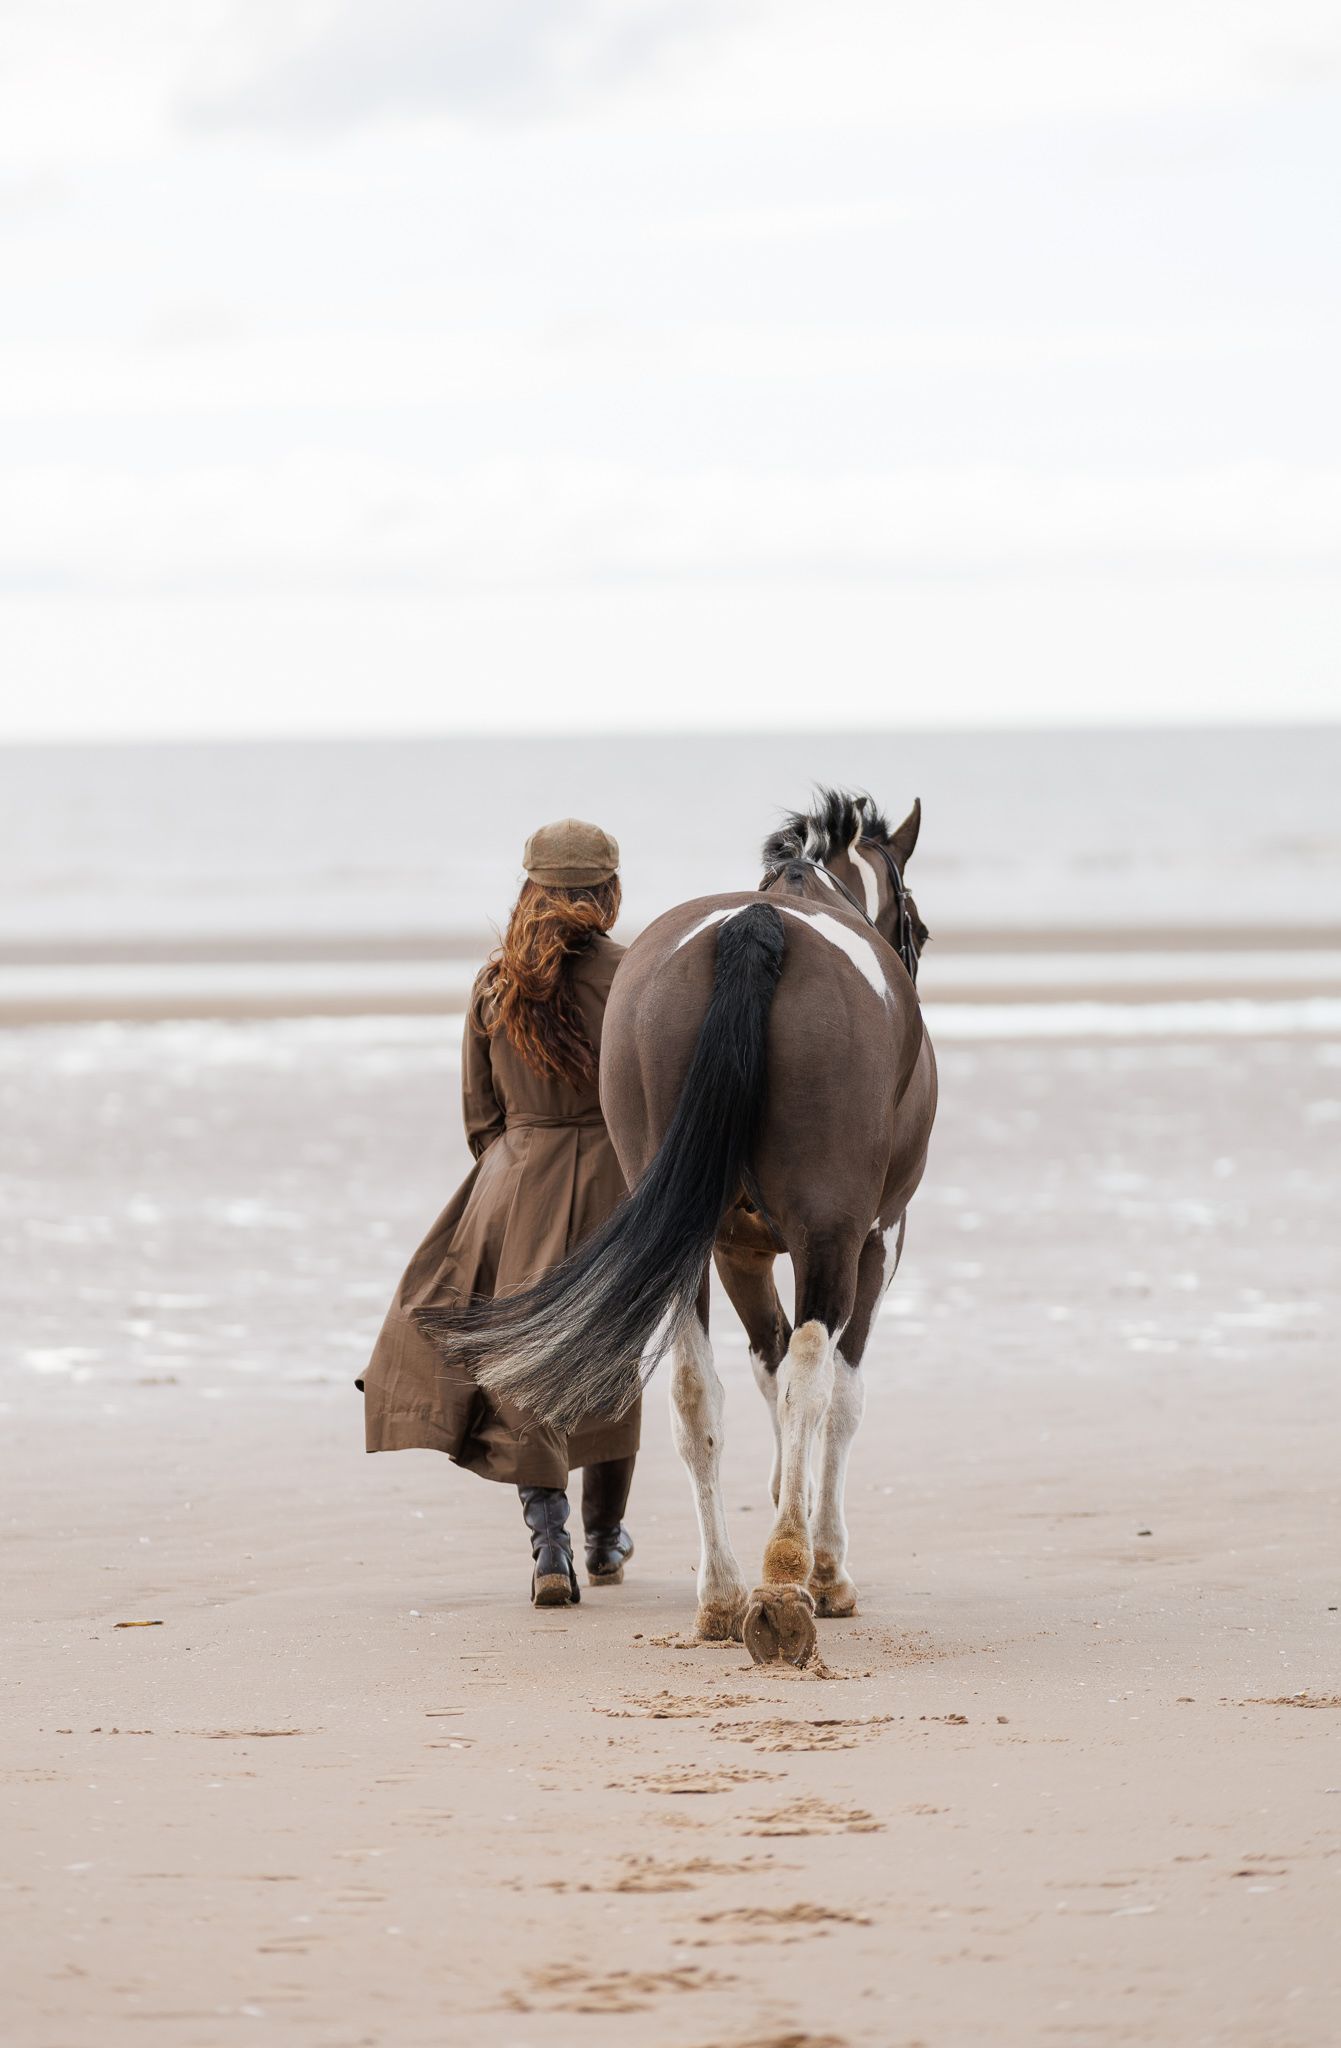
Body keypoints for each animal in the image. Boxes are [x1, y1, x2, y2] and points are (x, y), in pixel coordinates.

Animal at [422, 789, 936, 1668]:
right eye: (920, 928)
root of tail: (755, 927)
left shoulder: (736, 1249)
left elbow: (761, 1371)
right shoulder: (874, 1240)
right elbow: (835, 1395)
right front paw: (825, 1566)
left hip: (687, 1243)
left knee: (695, 1394)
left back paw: (723, 1595)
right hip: (830, 1235)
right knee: (809, 1375)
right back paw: (784, 1590)